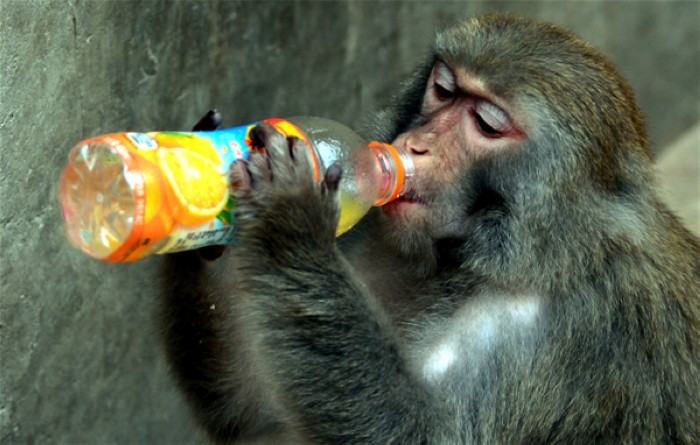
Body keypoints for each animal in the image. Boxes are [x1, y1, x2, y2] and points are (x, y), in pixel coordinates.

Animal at [160, 12, 700, 442]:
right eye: (443, 89)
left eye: (486, 124)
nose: (415, 145)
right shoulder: (384, 240)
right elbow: (256, 412)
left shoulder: (549, 329)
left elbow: (417, 434)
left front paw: (293, 213)